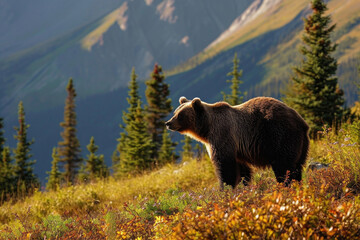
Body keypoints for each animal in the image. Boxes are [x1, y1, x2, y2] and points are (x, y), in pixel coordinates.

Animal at [166, 96, 310, 188]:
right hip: (301, 145)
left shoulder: (222, 136)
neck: (207, 129)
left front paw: (225, 187)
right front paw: (243, 185)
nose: (168, 123)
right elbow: (243, 170)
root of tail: (302, 122)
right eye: (175, 111)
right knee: (297, 166)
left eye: (180, 115)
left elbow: (225, 166)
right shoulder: (238, 149)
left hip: (279, 136)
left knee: (283, 166)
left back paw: (285, 185)